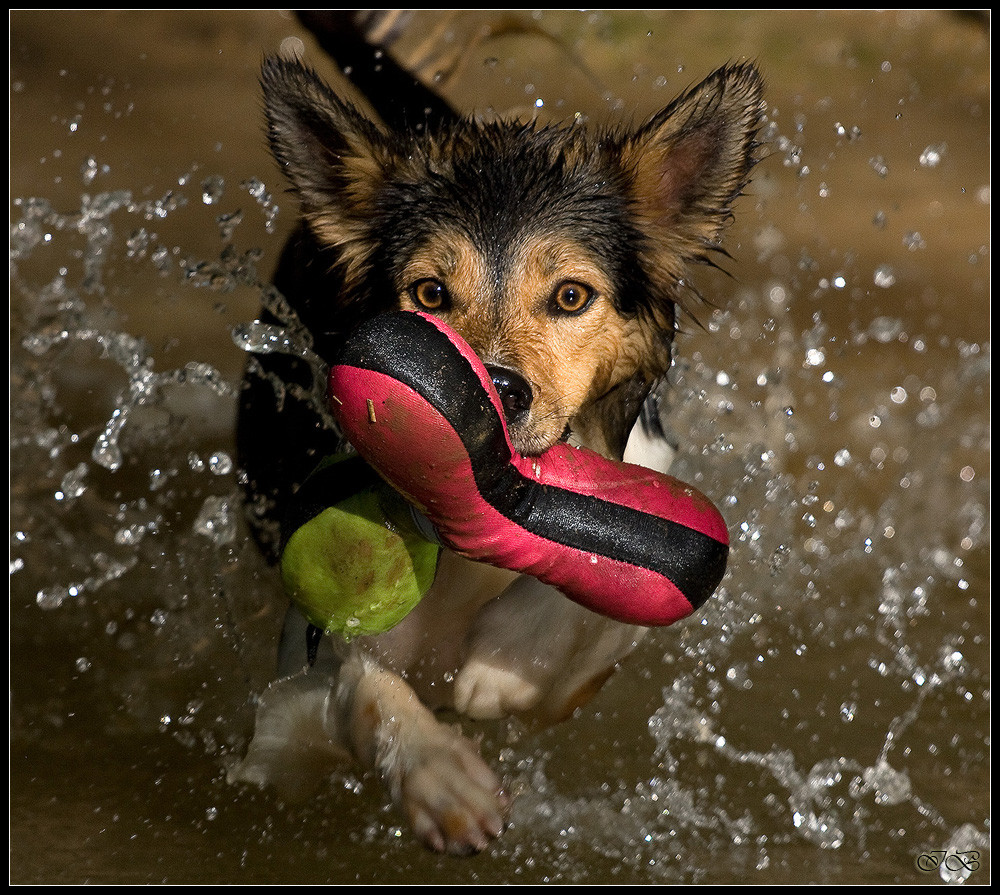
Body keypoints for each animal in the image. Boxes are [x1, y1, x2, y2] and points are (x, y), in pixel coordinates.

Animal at [232, 14, 764, 856]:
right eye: (429, 294)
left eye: (572, 296)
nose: (498, 391)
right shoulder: (287, 705)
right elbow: (360, 686)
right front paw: (439, 775)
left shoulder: (592, 663)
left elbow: (597, 588)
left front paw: (508, 662)